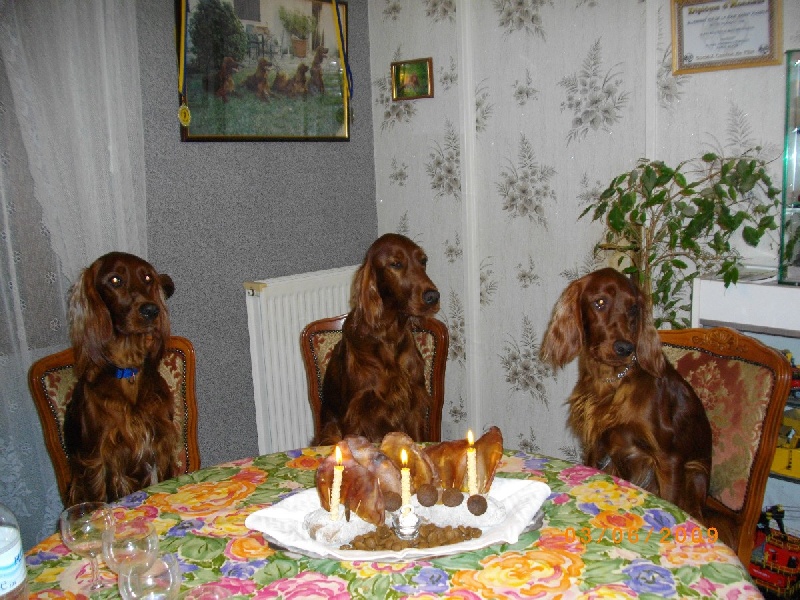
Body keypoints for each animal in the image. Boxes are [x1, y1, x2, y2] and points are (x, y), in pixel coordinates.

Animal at [64, 251, 180, 504]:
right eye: (115, 280)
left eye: (147, 278)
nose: (151, 310)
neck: (129, 370)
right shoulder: (97, 460)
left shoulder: (161, 444)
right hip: (77, 485)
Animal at [316, 233, 444, 446]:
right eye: (396, 264)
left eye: (423, 261)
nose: (433, 296)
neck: (388, 336)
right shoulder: (355, 415)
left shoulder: (414, 408)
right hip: (330, 430)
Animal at [540, 268, 708, 520]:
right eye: (600, 303)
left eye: (633, 308)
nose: (625, 348)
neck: (611, 382)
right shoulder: (596, 446)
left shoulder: (669, 459)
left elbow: (670, 499)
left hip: (694, 471)